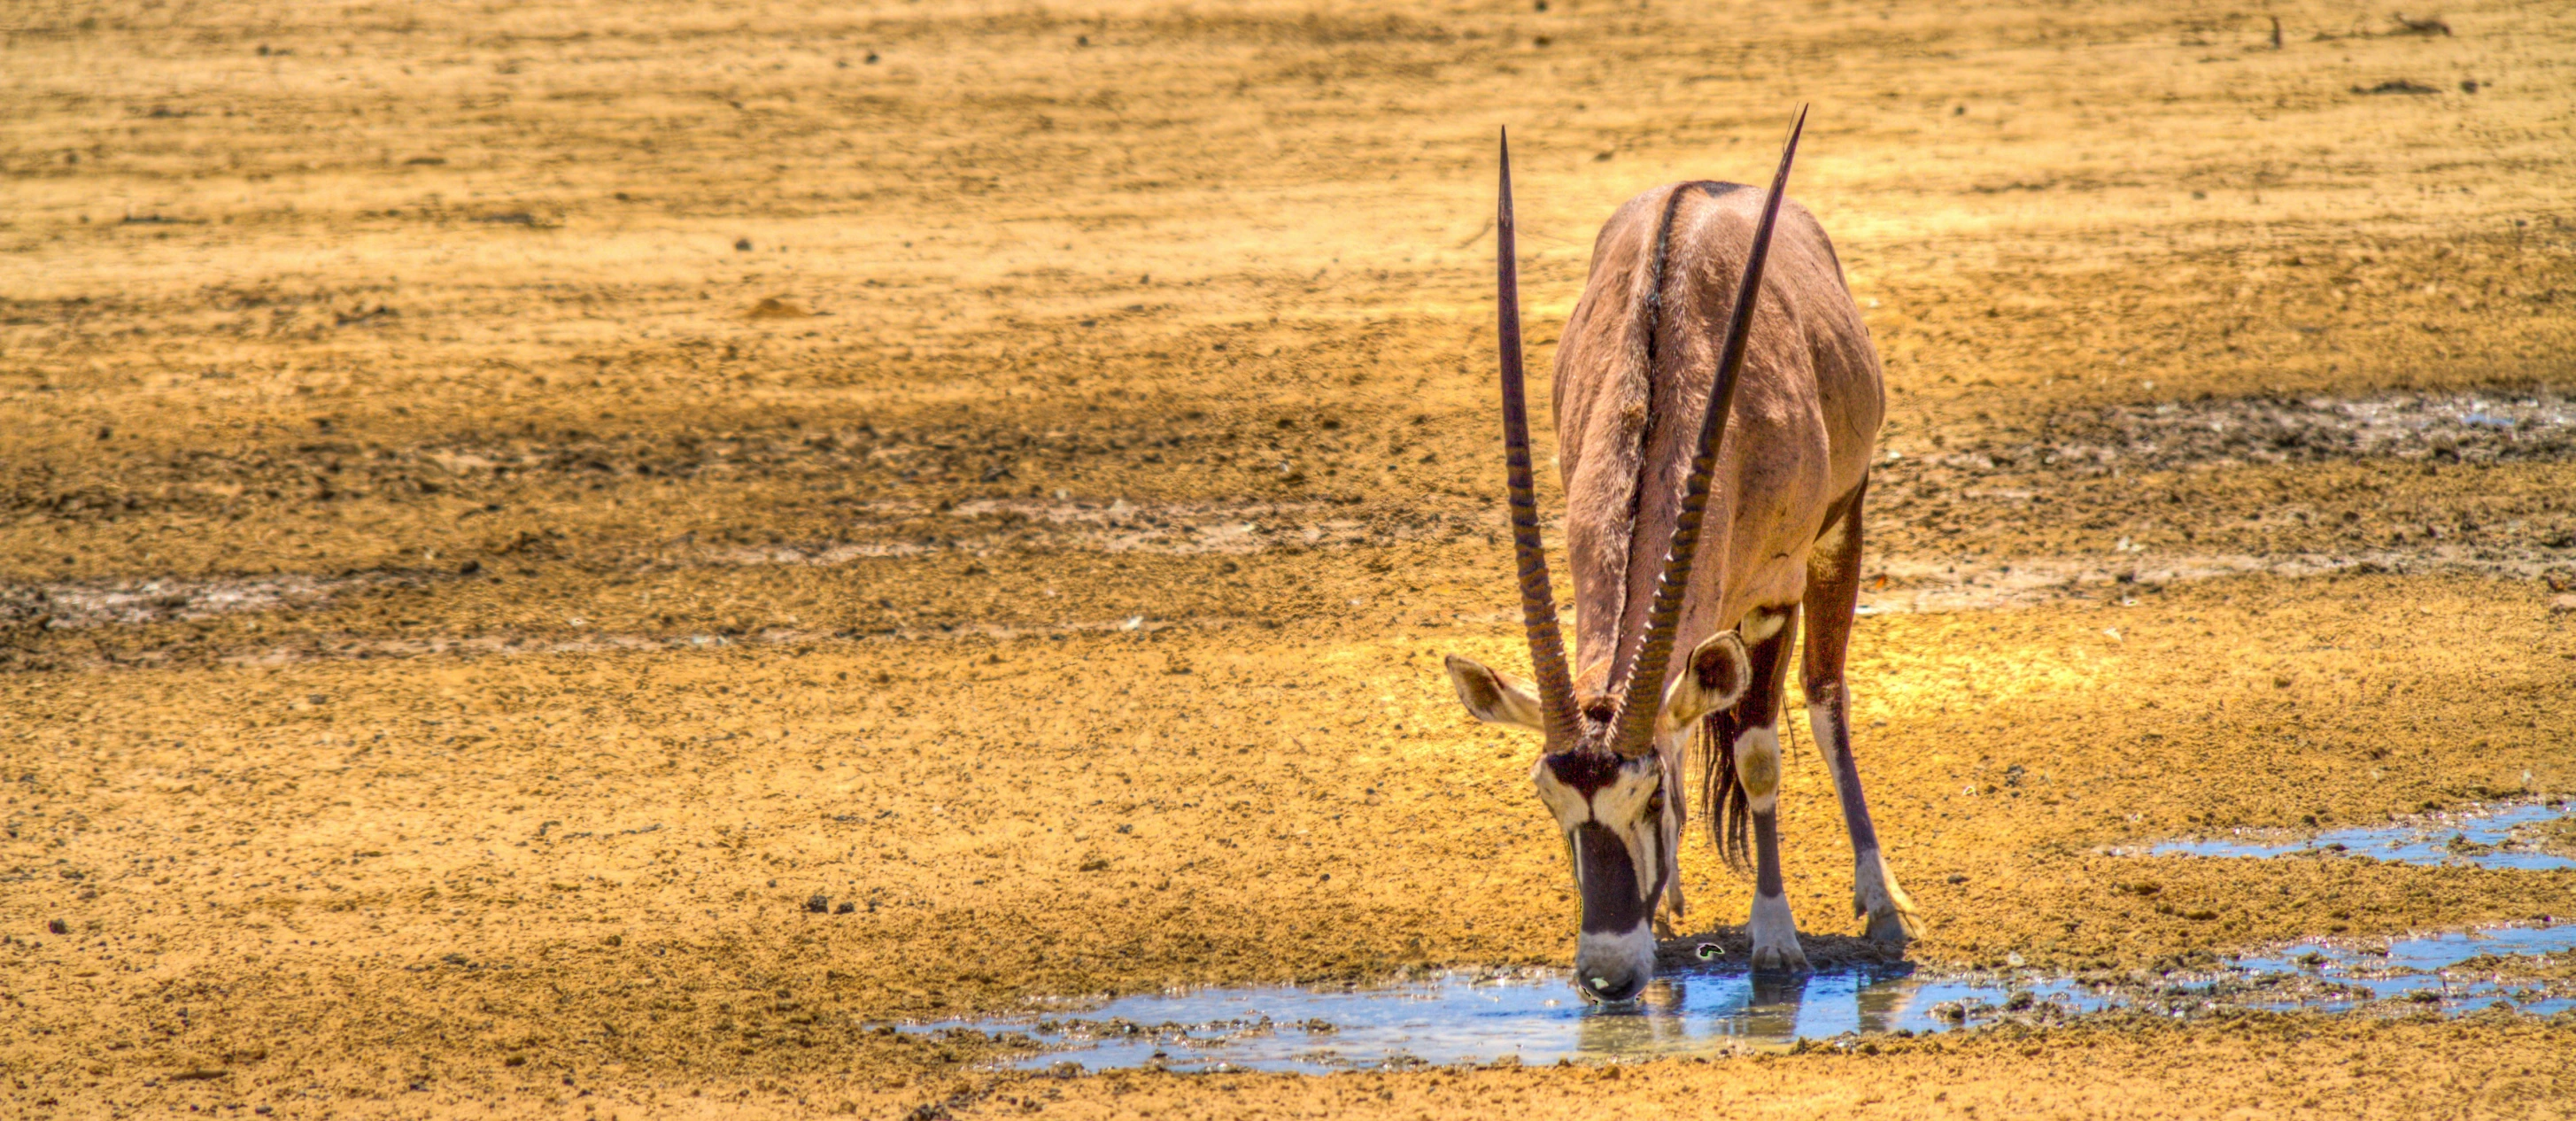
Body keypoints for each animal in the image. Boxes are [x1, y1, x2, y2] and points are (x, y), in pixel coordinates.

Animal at [1452, 107, 1916, 1000]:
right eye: (1550, 804)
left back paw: (1879, 904)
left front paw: (1775, 939)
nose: (1606, 975)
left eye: (1651, 798)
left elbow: (1758, 756)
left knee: (1824, 697)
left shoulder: (1774, 598)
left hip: (1841, 529)